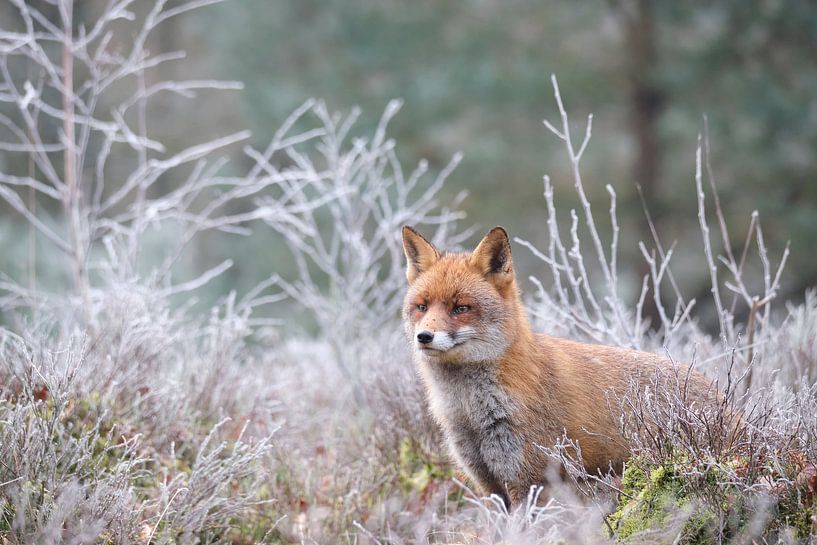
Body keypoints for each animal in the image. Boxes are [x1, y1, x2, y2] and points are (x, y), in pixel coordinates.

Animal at [401, 224, 720, 507]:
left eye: (461, 308)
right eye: (422, 307)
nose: (424, 337)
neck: (471, 413)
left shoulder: (528, 480)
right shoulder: (488, 483)